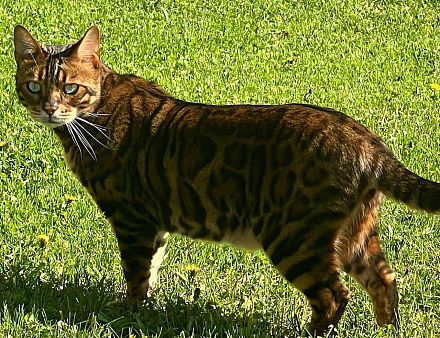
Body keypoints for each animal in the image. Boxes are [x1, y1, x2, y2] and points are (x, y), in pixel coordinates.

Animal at [12, 25, 440, 336]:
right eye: (33, 85)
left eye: (70, 88)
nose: (48, 108)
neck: (95, 112)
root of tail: (368, 140)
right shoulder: (154, 222)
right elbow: (152, 269)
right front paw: (146, 309)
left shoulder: (132, 218)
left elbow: (136, 273)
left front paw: (128, 311)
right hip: (354, 234)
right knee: (385, 281)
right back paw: (386, 330)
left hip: (294, 236)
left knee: (335, 296)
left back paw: (308, 333)